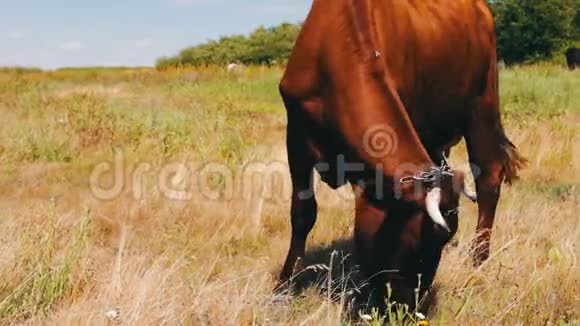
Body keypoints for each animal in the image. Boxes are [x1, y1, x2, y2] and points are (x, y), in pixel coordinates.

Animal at [276, 0, 524, 312]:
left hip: (483, 101)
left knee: (489, 178)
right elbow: (302, 212)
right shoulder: (296, 134)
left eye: (440, 245)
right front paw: (285, 286)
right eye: (412, 245)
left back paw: (478, 257)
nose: (408, 308)